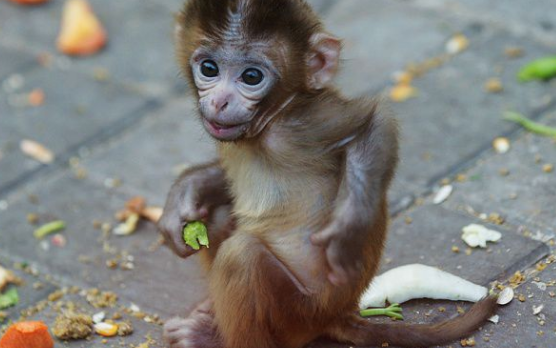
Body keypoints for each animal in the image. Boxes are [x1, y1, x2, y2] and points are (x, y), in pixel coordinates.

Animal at [160, 0, 496, 348]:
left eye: (251, 76)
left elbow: (374, 122)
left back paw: (209, 337)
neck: (267, 124)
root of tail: (337, 314)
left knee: (242, 256)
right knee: (218, 216)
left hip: (299, 312)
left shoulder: (305, 123)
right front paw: (186, 191)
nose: (219, 101)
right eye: (209, 68)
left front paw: (348, 227)